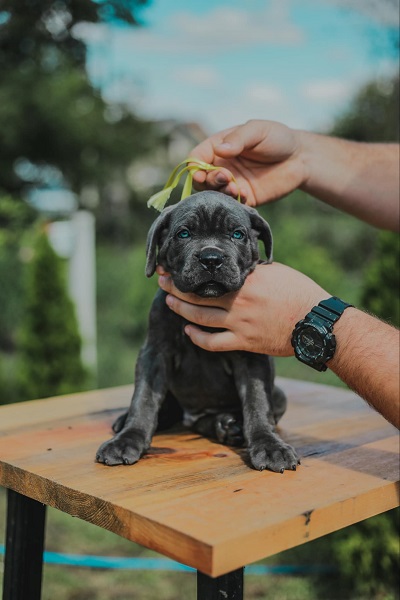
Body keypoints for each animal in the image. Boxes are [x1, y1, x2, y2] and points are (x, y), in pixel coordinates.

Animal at [95, 192, 298, 474]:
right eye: (184, 233)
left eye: (237, 234)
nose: (211, 258)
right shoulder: (154, 354)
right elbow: (144, 399)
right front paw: (128, 438)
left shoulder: (251, 357)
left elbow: (257, 402)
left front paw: (269, 445)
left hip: (278, 395)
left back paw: (228, 425)